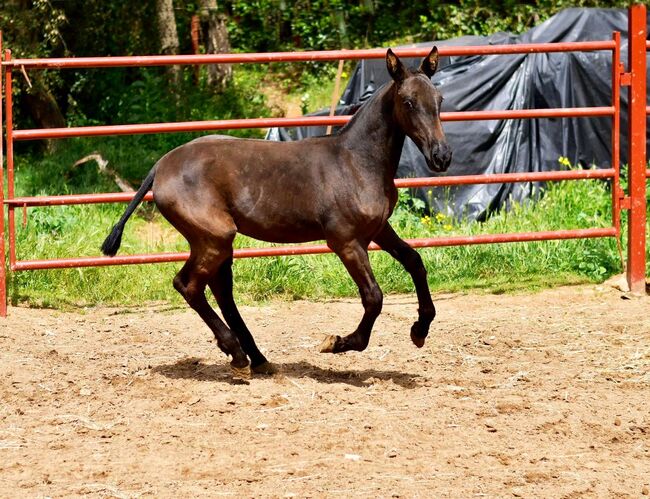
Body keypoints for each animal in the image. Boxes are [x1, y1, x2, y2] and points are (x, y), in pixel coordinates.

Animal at [101, 47, 452, 379]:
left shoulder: (379, 229)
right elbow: (374, 297)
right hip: (214, 238)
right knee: (188, 285)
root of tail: (160, 167)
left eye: (439, 100)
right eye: (408, 102)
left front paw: (419, 331)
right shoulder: (346, 242)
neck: (356, 162)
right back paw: (238, 355)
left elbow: (415, 262)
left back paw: (256, 359)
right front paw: (337, 343)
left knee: (221, 291)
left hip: (215, 242)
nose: (441, 156)